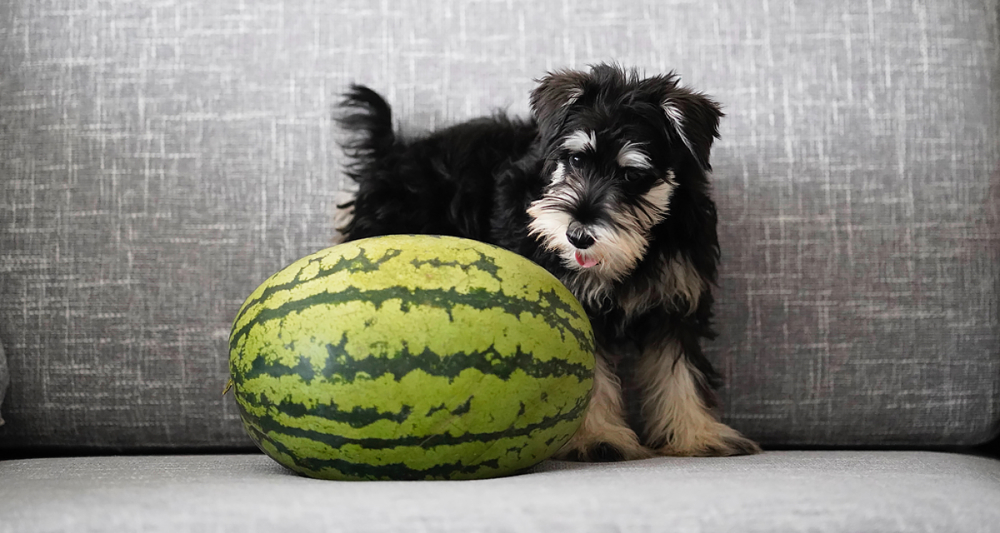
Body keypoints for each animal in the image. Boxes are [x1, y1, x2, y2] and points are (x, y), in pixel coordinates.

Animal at [334, 64, 756, 460]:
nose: (578, 236)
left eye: (633, 175)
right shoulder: (575, 308)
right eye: (575, 158)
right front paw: (596, 438)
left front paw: (697, 434)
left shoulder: (677, 302)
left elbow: (681, 373)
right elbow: (592, 378)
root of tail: (390, 154)